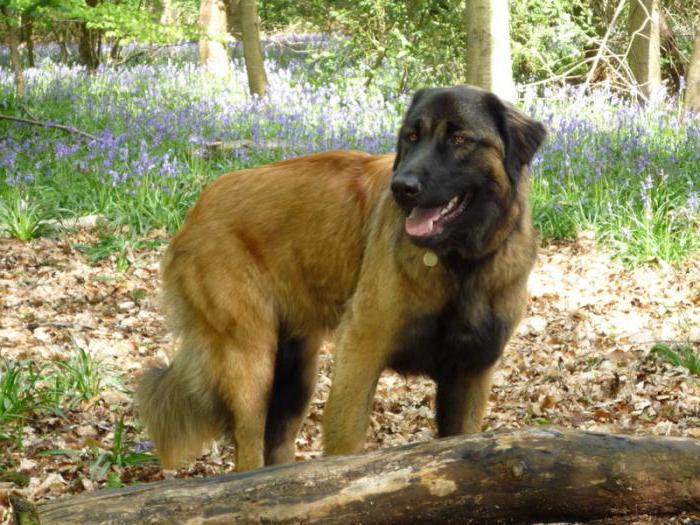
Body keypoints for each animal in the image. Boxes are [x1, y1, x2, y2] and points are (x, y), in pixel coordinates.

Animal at [135, 85, 548, 470]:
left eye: (460, 139)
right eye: (411, 136)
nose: (402, 187)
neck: (461, 266)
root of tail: (198, 208)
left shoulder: (470, 372)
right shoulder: (360, 351)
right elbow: (346, 446)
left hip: (295, 374)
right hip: (251, 363)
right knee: (249, 453)